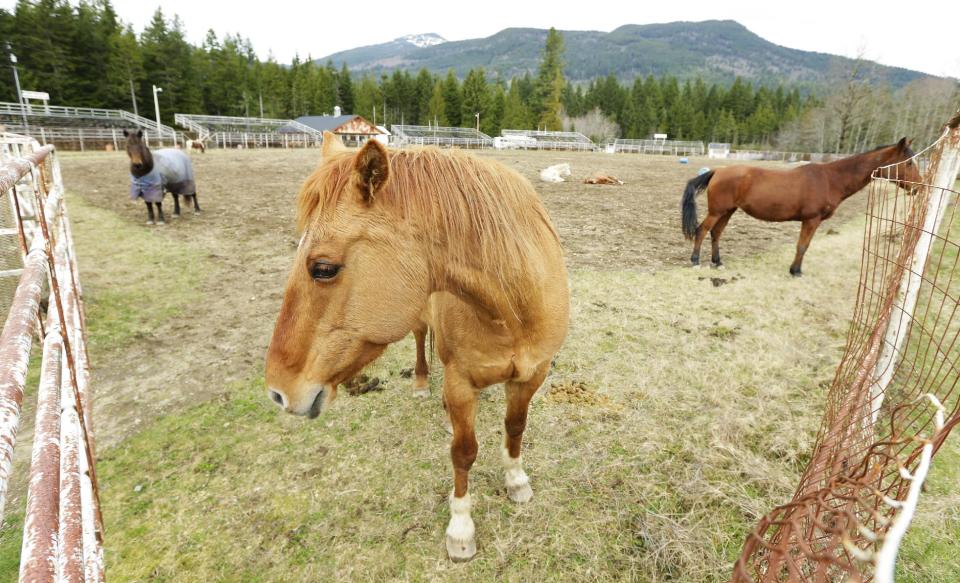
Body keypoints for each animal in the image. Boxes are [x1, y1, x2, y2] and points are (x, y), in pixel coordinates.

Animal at [262, 131, 568, 560]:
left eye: (322, 268)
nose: (277, 392)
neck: (513, 309)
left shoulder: (531, 375)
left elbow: (515, 427)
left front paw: (516, 479)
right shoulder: (460, 383)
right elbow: (463, 451)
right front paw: (461, 527)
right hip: (422, 321)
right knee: (422, 341)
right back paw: (423, 384)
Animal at [684, 141, 924, 278]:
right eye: (908, 162)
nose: (919, 187)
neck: (830, 179)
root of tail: (717, 171)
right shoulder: (811, 219)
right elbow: (803, 246)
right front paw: (795, 271)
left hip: (728, 211)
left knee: (716, 233)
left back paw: (717, 262)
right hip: (717, 211)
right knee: (702, 230)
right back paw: (695, 261)